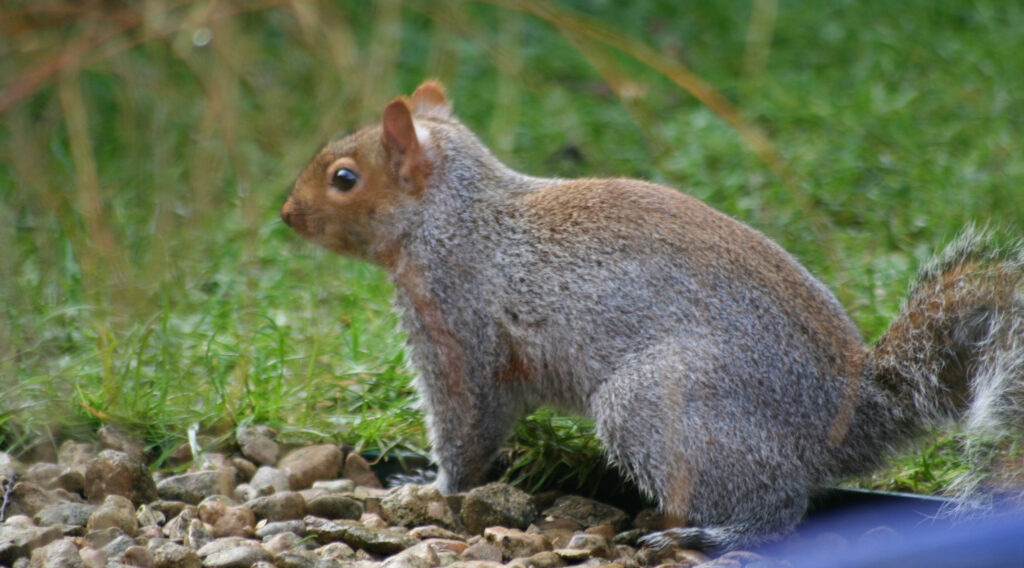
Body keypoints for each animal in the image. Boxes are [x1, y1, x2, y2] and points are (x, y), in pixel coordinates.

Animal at [280, 81, 1024, 552]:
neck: (455, 213)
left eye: (344, 178)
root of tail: (849, 414)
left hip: (661, 403)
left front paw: (427, 486)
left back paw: (711, 532)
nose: (285, 215)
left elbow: (466, 424)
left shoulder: (455, 323)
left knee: (780, 506)